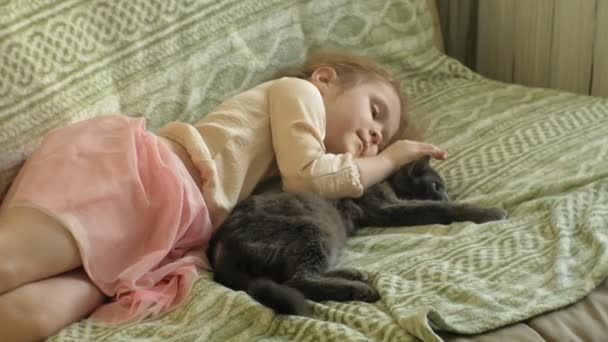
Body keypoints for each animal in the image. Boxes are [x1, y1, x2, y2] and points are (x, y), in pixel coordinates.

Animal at [207, 156, 506, 316]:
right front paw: (489, 211)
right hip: (313, 227)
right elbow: (436, 210)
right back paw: (360, 289)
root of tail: (220, 249)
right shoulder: (385, 207)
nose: (446, 194)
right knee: (299, 280)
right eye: (435, 185)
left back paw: (354, 274)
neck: (388, 181)